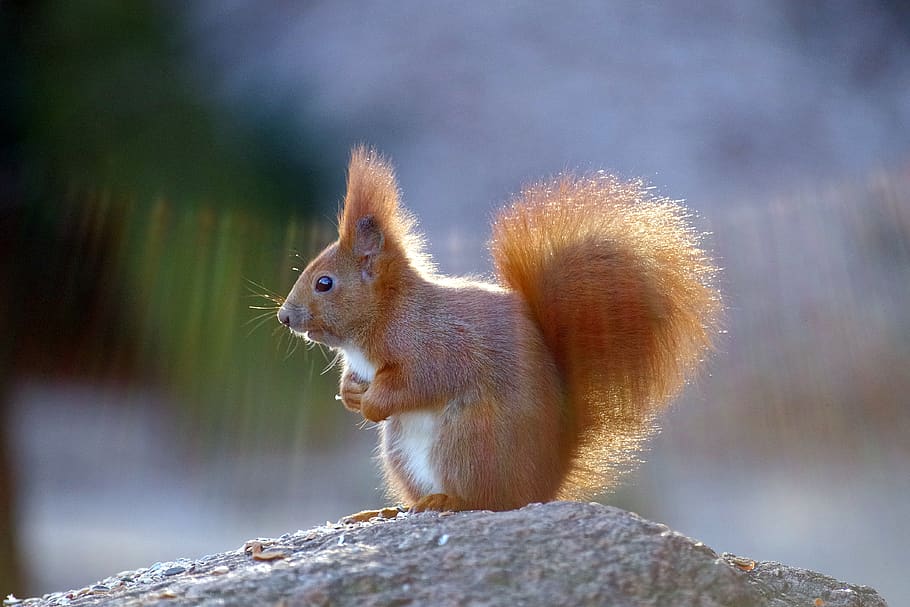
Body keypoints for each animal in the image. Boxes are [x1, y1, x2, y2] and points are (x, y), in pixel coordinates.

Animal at [278, 146, 721, 513]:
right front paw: (352, 394)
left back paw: (447, 500)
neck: (386, 317)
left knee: (488, 500)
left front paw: (372, 404)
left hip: (469, 439)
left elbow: (418, 382)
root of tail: (546, 483)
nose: (284, 317)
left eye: (324, 283)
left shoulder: (436, 344)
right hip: (402, 451)